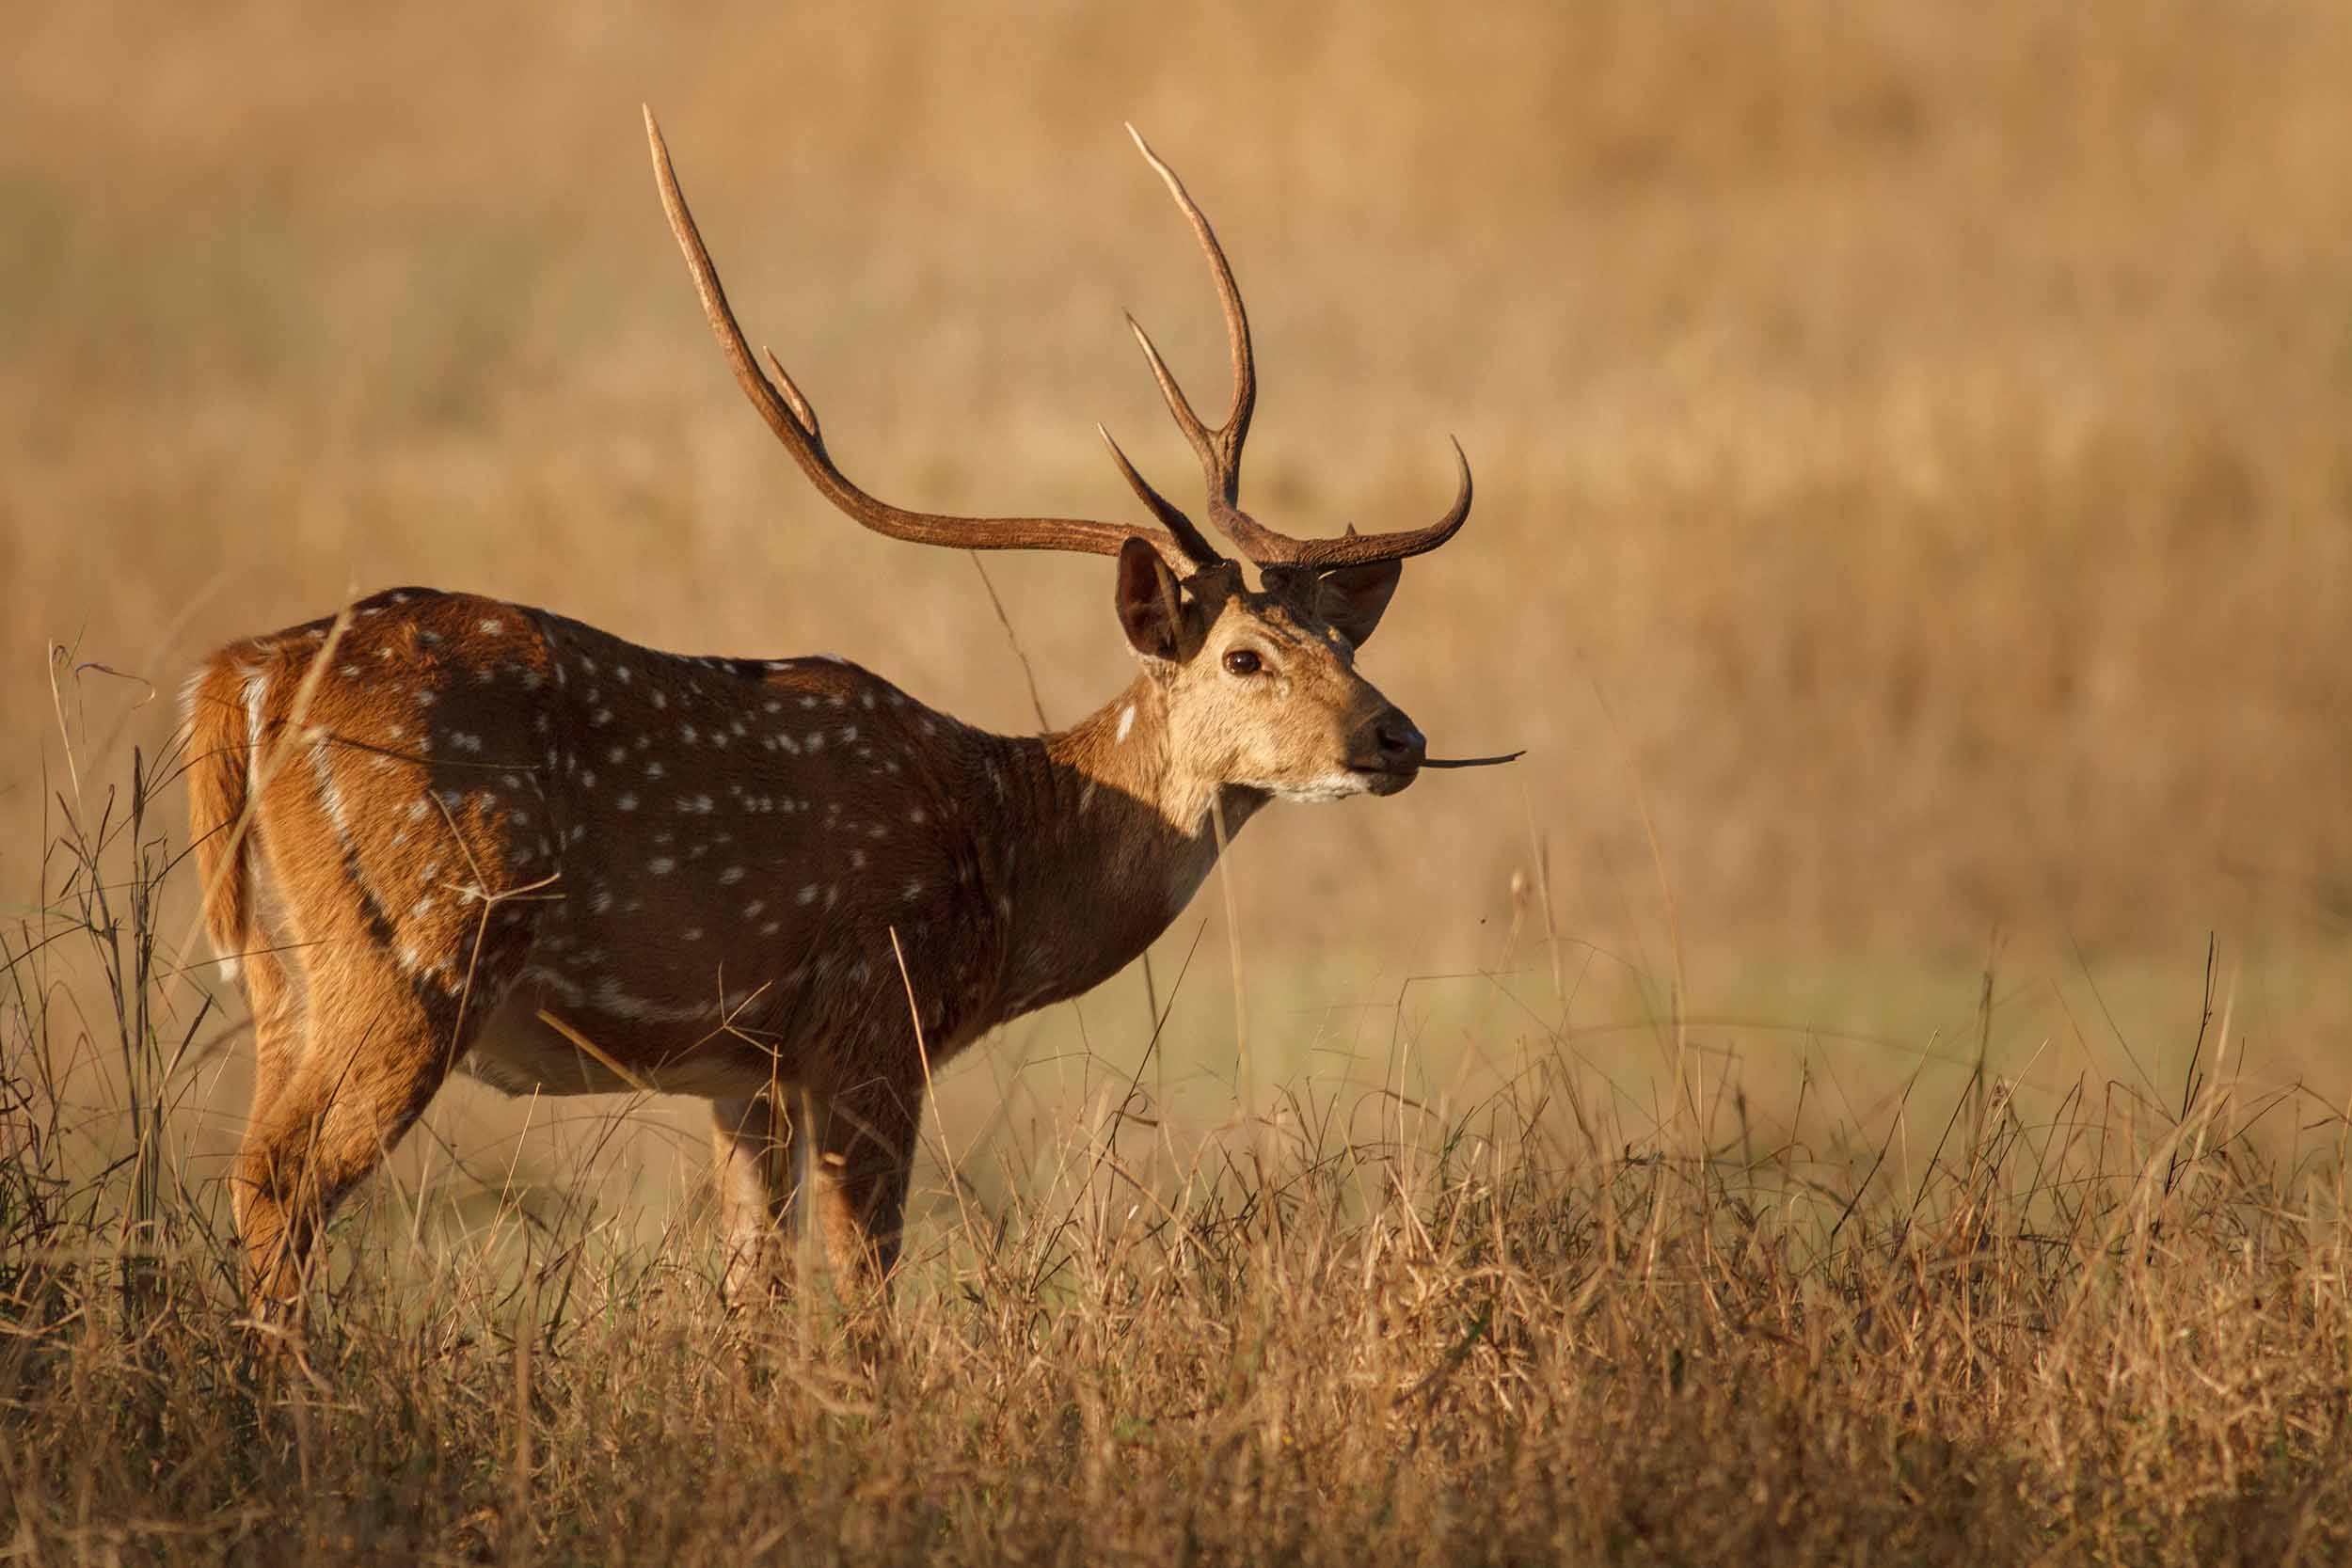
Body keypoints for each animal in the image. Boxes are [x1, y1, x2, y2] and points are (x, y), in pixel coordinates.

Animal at [181, 109, 1492, 1320]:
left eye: (1346, 639)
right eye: (1243, 655)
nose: (1400, 737)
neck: (1002, 857)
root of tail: (242, 678)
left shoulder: (746, 1071)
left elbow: (755, 1289)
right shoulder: (873, 1019)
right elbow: (865, 1288)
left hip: (286, 975)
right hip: (415, 941)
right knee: (281, 1179)